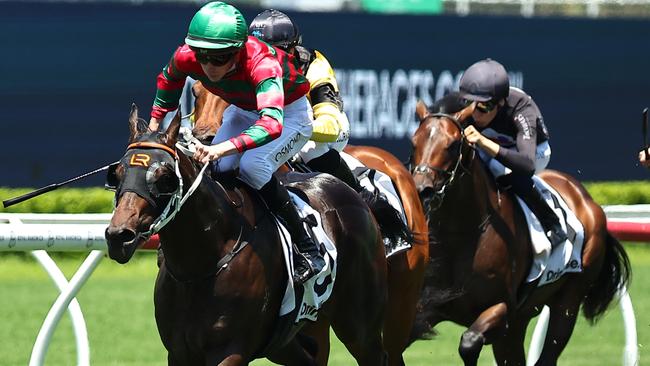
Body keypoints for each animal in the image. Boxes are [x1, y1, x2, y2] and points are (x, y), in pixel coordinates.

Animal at [104, 105, 388, 366]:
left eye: (164, 177)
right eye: (116, 174)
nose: (119, 236)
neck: (202, 264)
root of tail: (352, 193)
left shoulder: (230, 351)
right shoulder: (179, 352)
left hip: (360, 326)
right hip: (283, 343)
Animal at [410, 101, 628, 366]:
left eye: (452, 145)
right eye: (414, 142)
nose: (422, 189)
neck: (462, 234)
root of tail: (586, 198)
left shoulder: (502, 308)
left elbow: (469, 343)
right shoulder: (428, 306)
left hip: (568, 301)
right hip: (521, 319)